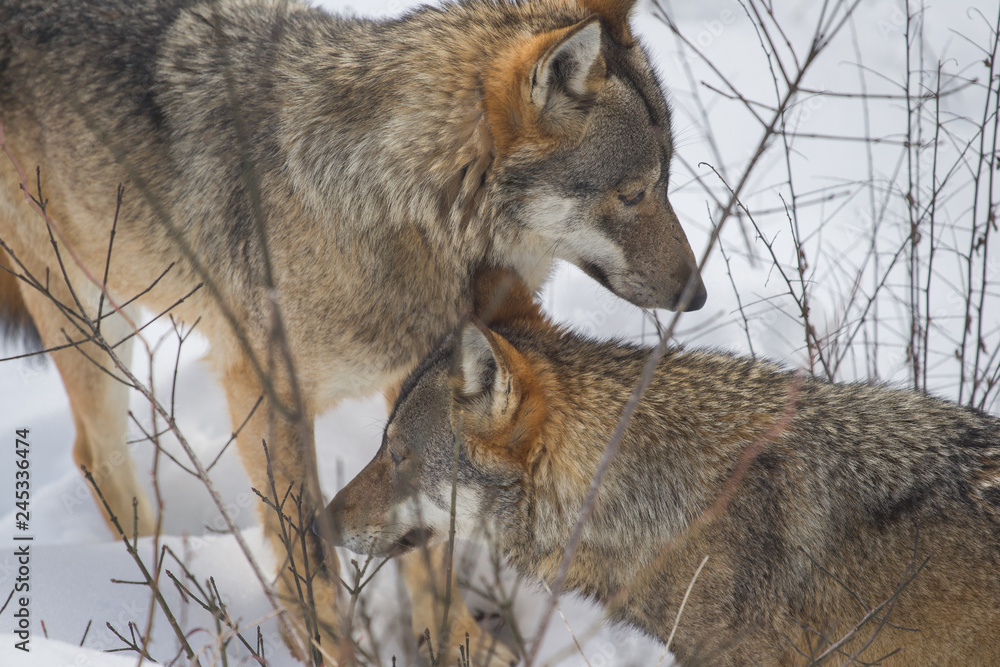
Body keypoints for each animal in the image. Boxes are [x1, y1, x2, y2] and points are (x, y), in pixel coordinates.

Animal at [0, 0, 708, 660]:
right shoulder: (267, 397)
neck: (391, 203)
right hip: (91, 318)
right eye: (633, 193)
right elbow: (310, 567)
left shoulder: (419, 386)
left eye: (664, 182)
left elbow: (426, 540)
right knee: (96, 458)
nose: (696, 297)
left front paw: (457, 646)